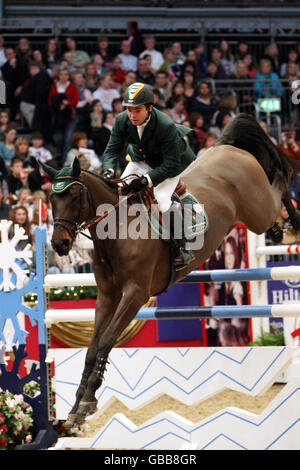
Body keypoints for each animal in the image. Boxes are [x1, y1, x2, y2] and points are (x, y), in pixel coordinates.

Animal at [41, 114, 300, 426]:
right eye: (51, 199)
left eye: (75, 194)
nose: (60, 244)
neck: (117, 231)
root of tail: (226, 147)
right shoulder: (106, 296)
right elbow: (92, 348)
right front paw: (76, 408)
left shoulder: (135, 295)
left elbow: (106, 341)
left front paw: (89, 400)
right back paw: (280, 229)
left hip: (257, 211)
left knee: (281, 181)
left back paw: (292, 225)